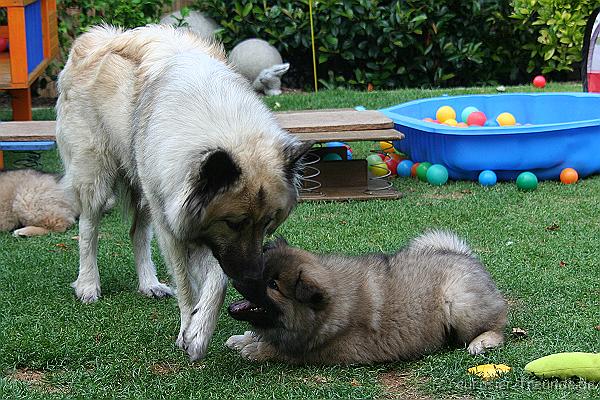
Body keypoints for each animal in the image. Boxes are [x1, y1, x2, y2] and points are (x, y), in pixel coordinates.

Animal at [225, 231, 506, 366]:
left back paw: (482, 342)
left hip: (459, 303)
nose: (236, 275)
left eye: (273, 285)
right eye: (261, 268)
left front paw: (256, 349)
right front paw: (244, 339)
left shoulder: (327, 350)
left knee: (497, 326)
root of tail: (468, 258)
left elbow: (284, 352)